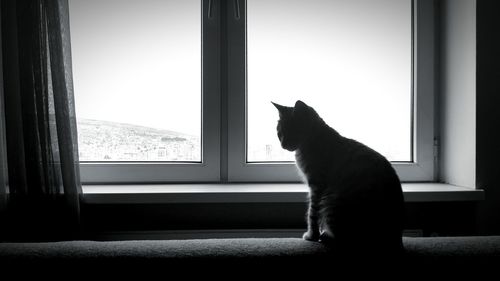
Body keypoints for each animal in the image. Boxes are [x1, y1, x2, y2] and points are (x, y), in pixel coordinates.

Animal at [272, 99, 404, 255]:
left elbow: (312, 214)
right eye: (279, 133)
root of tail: (396, 239)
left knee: (347, 241)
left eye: (293, 131)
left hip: (331, 202)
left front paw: (311, 236)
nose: (283, 145)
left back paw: (326, 237)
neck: (314, 139)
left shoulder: (316, 186)